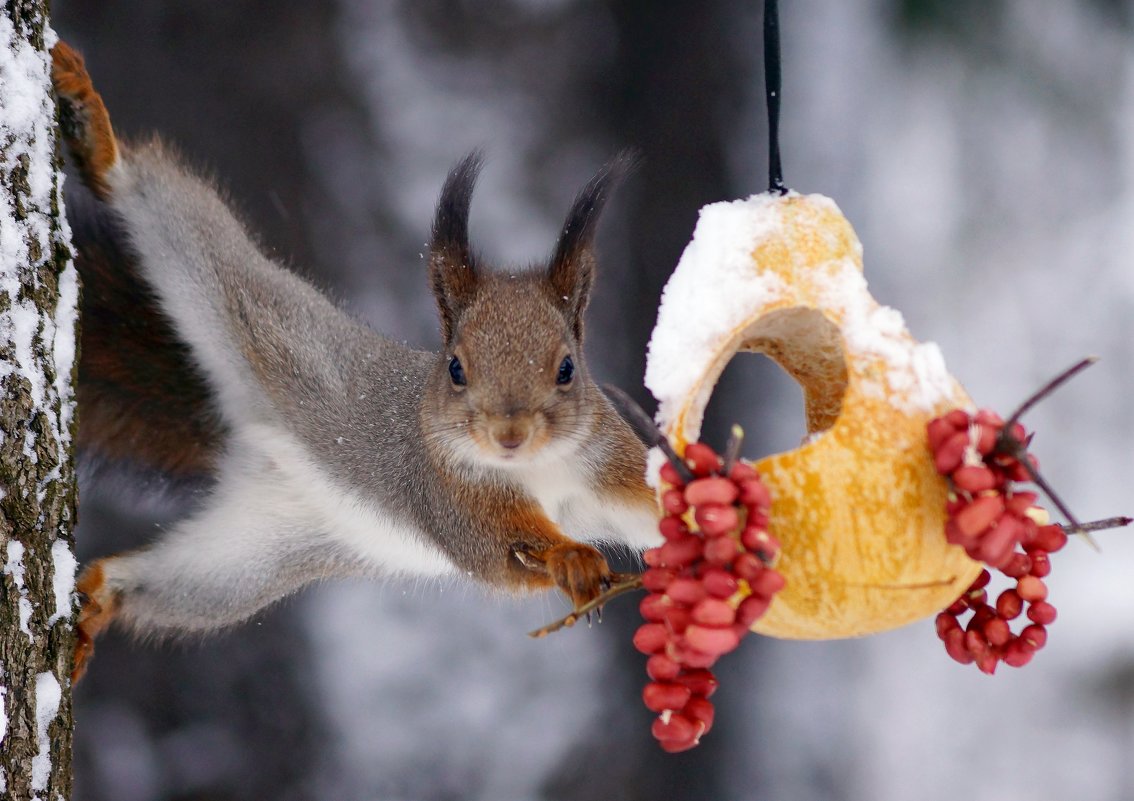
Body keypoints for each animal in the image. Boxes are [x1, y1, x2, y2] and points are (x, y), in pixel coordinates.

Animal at [51, 43, 657, 680]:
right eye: (456, 368)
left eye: (567, 368)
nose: (509, 434)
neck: (536, 469)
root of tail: (235, 434)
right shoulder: (447, 494)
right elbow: (501, 555)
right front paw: (570, 558)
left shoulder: (609, 460)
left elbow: (648, 509)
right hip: (243, 299)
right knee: (163, 205)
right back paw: (95, 134)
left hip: (242, 567)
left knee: (152, 586)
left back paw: (97, 602)